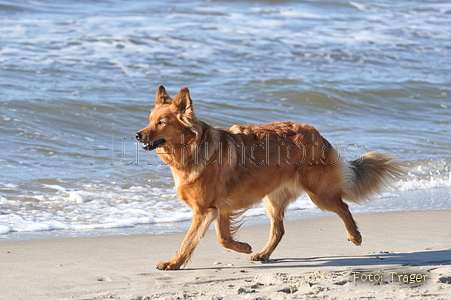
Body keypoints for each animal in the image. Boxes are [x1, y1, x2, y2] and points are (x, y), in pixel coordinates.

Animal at [136, 85, 404, 270]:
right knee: (279, 230)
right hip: (273, 200)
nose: (137, 135)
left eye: (161, 122)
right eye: (149, 121)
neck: (193, 149)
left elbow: (189, 240)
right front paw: (243, 247)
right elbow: (223, 238)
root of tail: (317, 133)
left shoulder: (204, 210)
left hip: (319, 194)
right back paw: (263, 254)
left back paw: (355, 236)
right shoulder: (219, 208)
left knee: (343, 207)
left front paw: (173, 263)